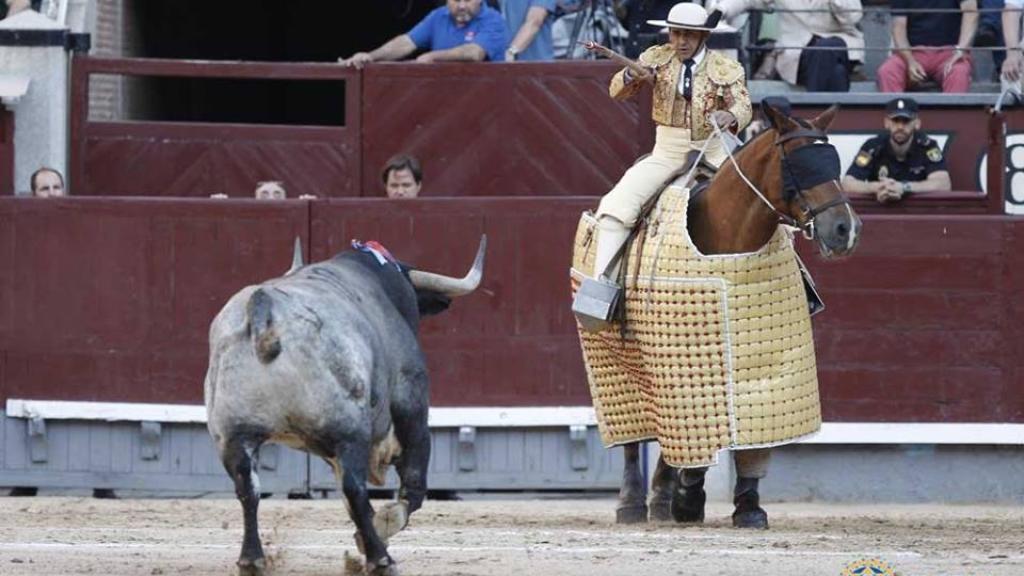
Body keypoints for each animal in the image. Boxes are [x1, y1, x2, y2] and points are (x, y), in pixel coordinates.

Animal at [610, 102, 862, 527]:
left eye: (833, 162)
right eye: (796, 165)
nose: (845, 229)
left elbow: (749, 435)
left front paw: (747, 504)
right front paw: (690, 495)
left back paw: (662, 500)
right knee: (636, 428)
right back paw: (631, 503)